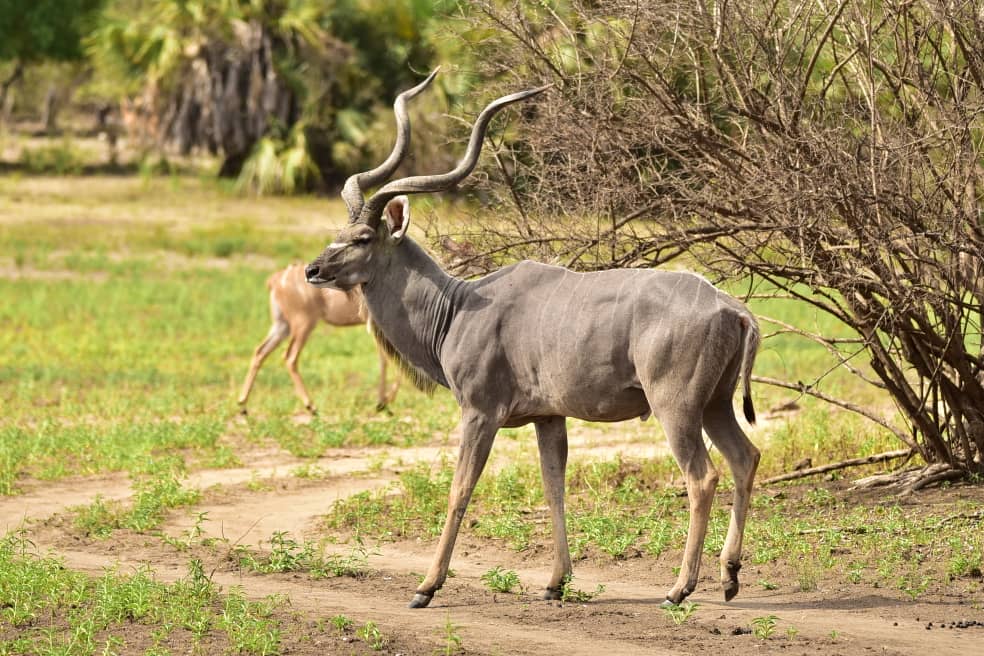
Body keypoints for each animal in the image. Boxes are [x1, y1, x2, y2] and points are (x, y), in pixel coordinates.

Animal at [240, 264, 398, 412]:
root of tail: (274, 281)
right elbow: (387, 359)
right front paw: (384, 402)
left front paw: (383, 402)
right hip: (303, 323)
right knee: (290, 356)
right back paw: (311, 406)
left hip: (282, 325)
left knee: (260, 351)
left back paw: (243, 404)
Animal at [308, 72, 760, 608]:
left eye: (361, 239)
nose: (313, 270)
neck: (458, 307)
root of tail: (732, 308)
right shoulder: (549, 417)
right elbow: (553, 486)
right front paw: (554, 582)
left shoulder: (480, 412)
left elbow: (460, 489)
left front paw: (425, 587)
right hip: (716, 404)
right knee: (745, 458)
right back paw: (729, 577)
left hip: (677, 407)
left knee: (702, 475)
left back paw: (679, 588)